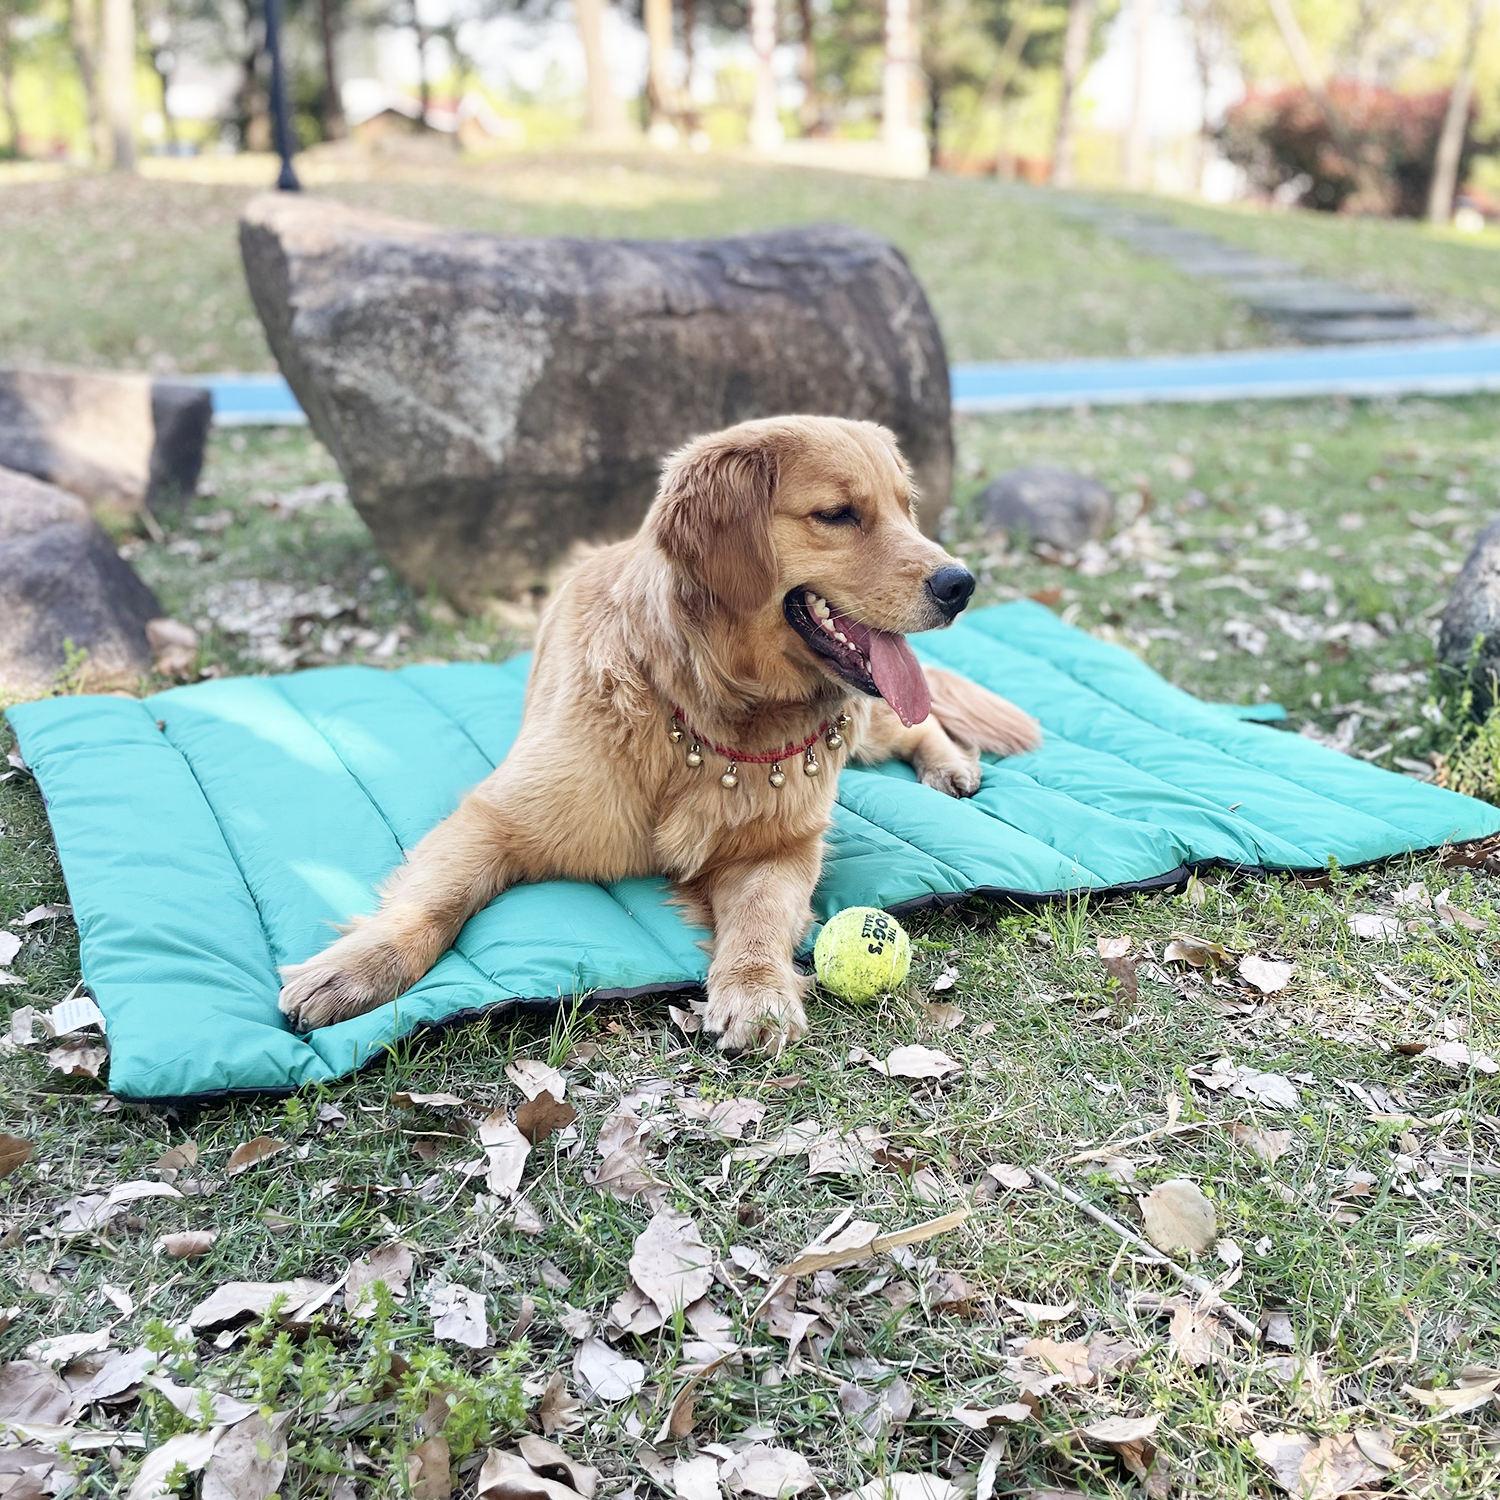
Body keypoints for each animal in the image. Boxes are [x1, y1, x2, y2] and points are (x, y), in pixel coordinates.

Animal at [282, 411, 1038, 1044]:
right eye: (837, 514)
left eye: (907, 509)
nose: (960, 584)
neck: (700, 708)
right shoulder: (496, 816)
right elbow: (436, 898)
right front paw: (360, 964)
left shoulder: (781, 847)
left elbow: (761, 917)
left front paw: (756, 990)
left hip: (870, 720)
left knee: (919, 720)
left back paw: (951, 764)